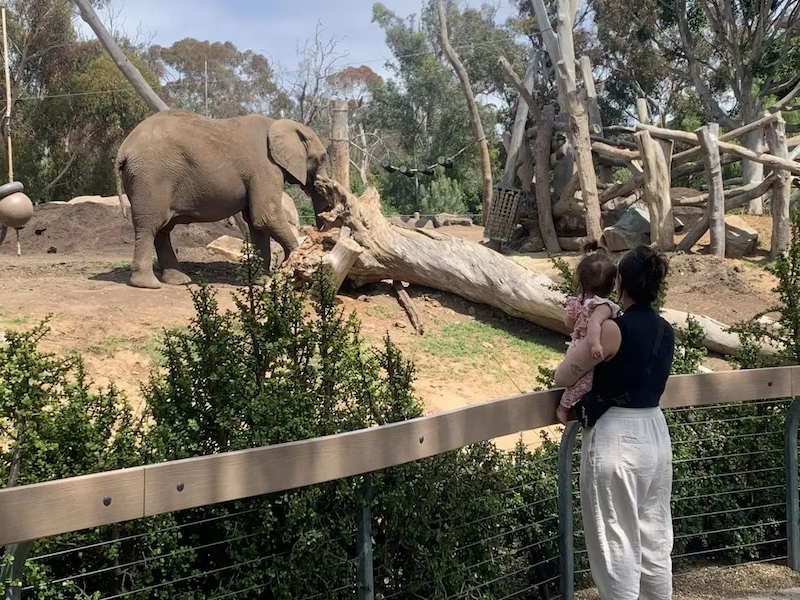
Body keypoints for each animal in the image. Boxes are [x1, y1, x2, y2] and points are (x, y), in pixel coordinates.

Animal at [114, 109, 330, 290]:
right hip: (150, 177)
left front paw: (262, 281)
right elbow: (266, 216)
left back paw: (178, 281)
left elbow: (257, 224)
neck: (280, 123)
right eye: (322, 158)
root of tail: (124, 148)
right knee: (149, 226)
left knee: (162, 230)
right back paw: (148, 284)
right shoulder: (265, 167)